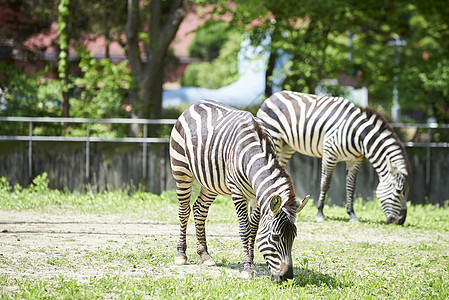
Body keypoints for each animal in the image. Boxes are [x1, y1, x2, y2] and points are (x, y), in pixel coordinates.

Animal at [168, 100, 308, 282]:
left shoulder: (257, 197)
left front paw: (251, 263)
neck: (252, 154)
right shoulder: (238, 192)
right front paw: (247, 267)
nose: (287, 277)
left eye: (294, 236)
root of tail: (195, 104)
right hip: (181, 170)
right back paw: (181, 254)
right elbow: (244, 229)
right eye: (276, 237)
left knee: (199, 210)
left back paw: (205, 255)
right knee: (184, 211)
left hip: (211, 181)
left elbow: (254, 230)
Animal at [256, 91, 410, 225]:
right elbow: (325, 183)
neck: (357, 134)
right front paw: (319, 214)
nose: (400, 221)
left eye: (405, 192)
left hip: (287, 146)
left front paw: (352, 215)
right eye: (399, 192)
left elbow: (351, 186)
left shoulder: (355, 160)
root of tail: (273, 96)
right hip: (274, 138)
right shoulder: (330, 153)